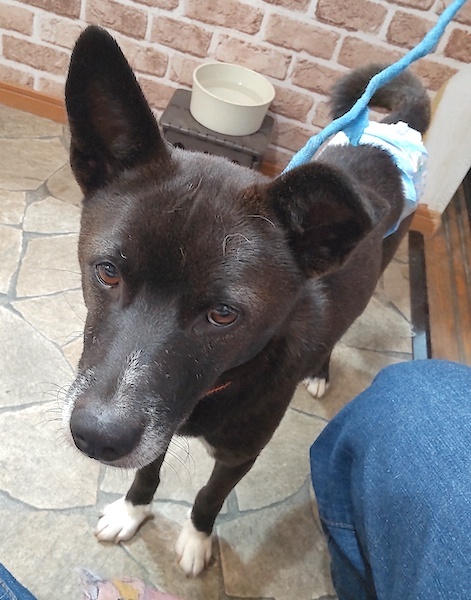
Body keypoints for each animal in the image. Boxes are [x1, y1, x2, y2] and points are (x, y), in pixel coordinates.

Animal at [62, 25, 430, 577]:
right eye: (108, 272)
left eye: (223, 315)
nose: (97, 438)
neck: (221, 383)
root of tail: (385, 137)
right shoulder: (159, 426)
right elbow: (147, 471)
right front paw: (133, 510)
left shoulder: (239, 455)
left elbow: (209, 498)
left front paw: (197, 539)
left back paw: (320, 373)